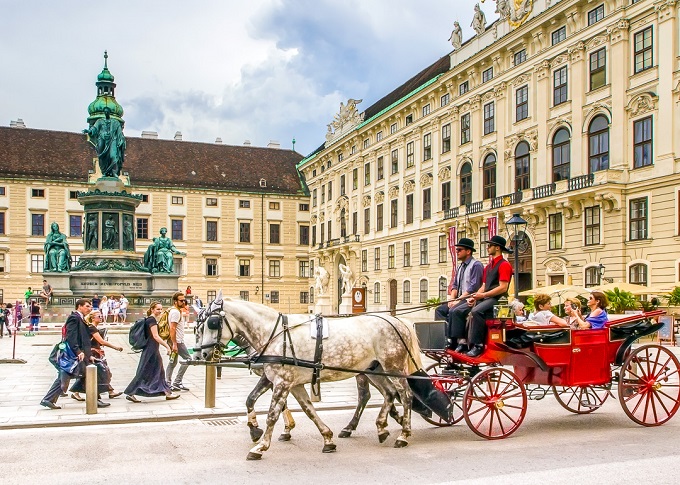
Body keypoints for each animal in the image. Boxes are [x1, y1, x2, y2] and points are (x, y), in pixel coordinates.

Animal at [197, 294, 422, 458]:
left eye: (213, 323)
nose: (203, 354)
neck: (274, 333)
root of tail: (396, 320)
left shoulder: (282, 381)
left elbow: (272, 414)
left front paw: (260, 446)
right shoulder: (288, 382)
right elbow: (306, 409)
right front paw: (327, 438)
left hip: (393, 367)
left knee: (405, 395)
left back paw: (403, 434)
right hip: (373, 369)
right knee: (388, 393)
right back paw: (381, 427)